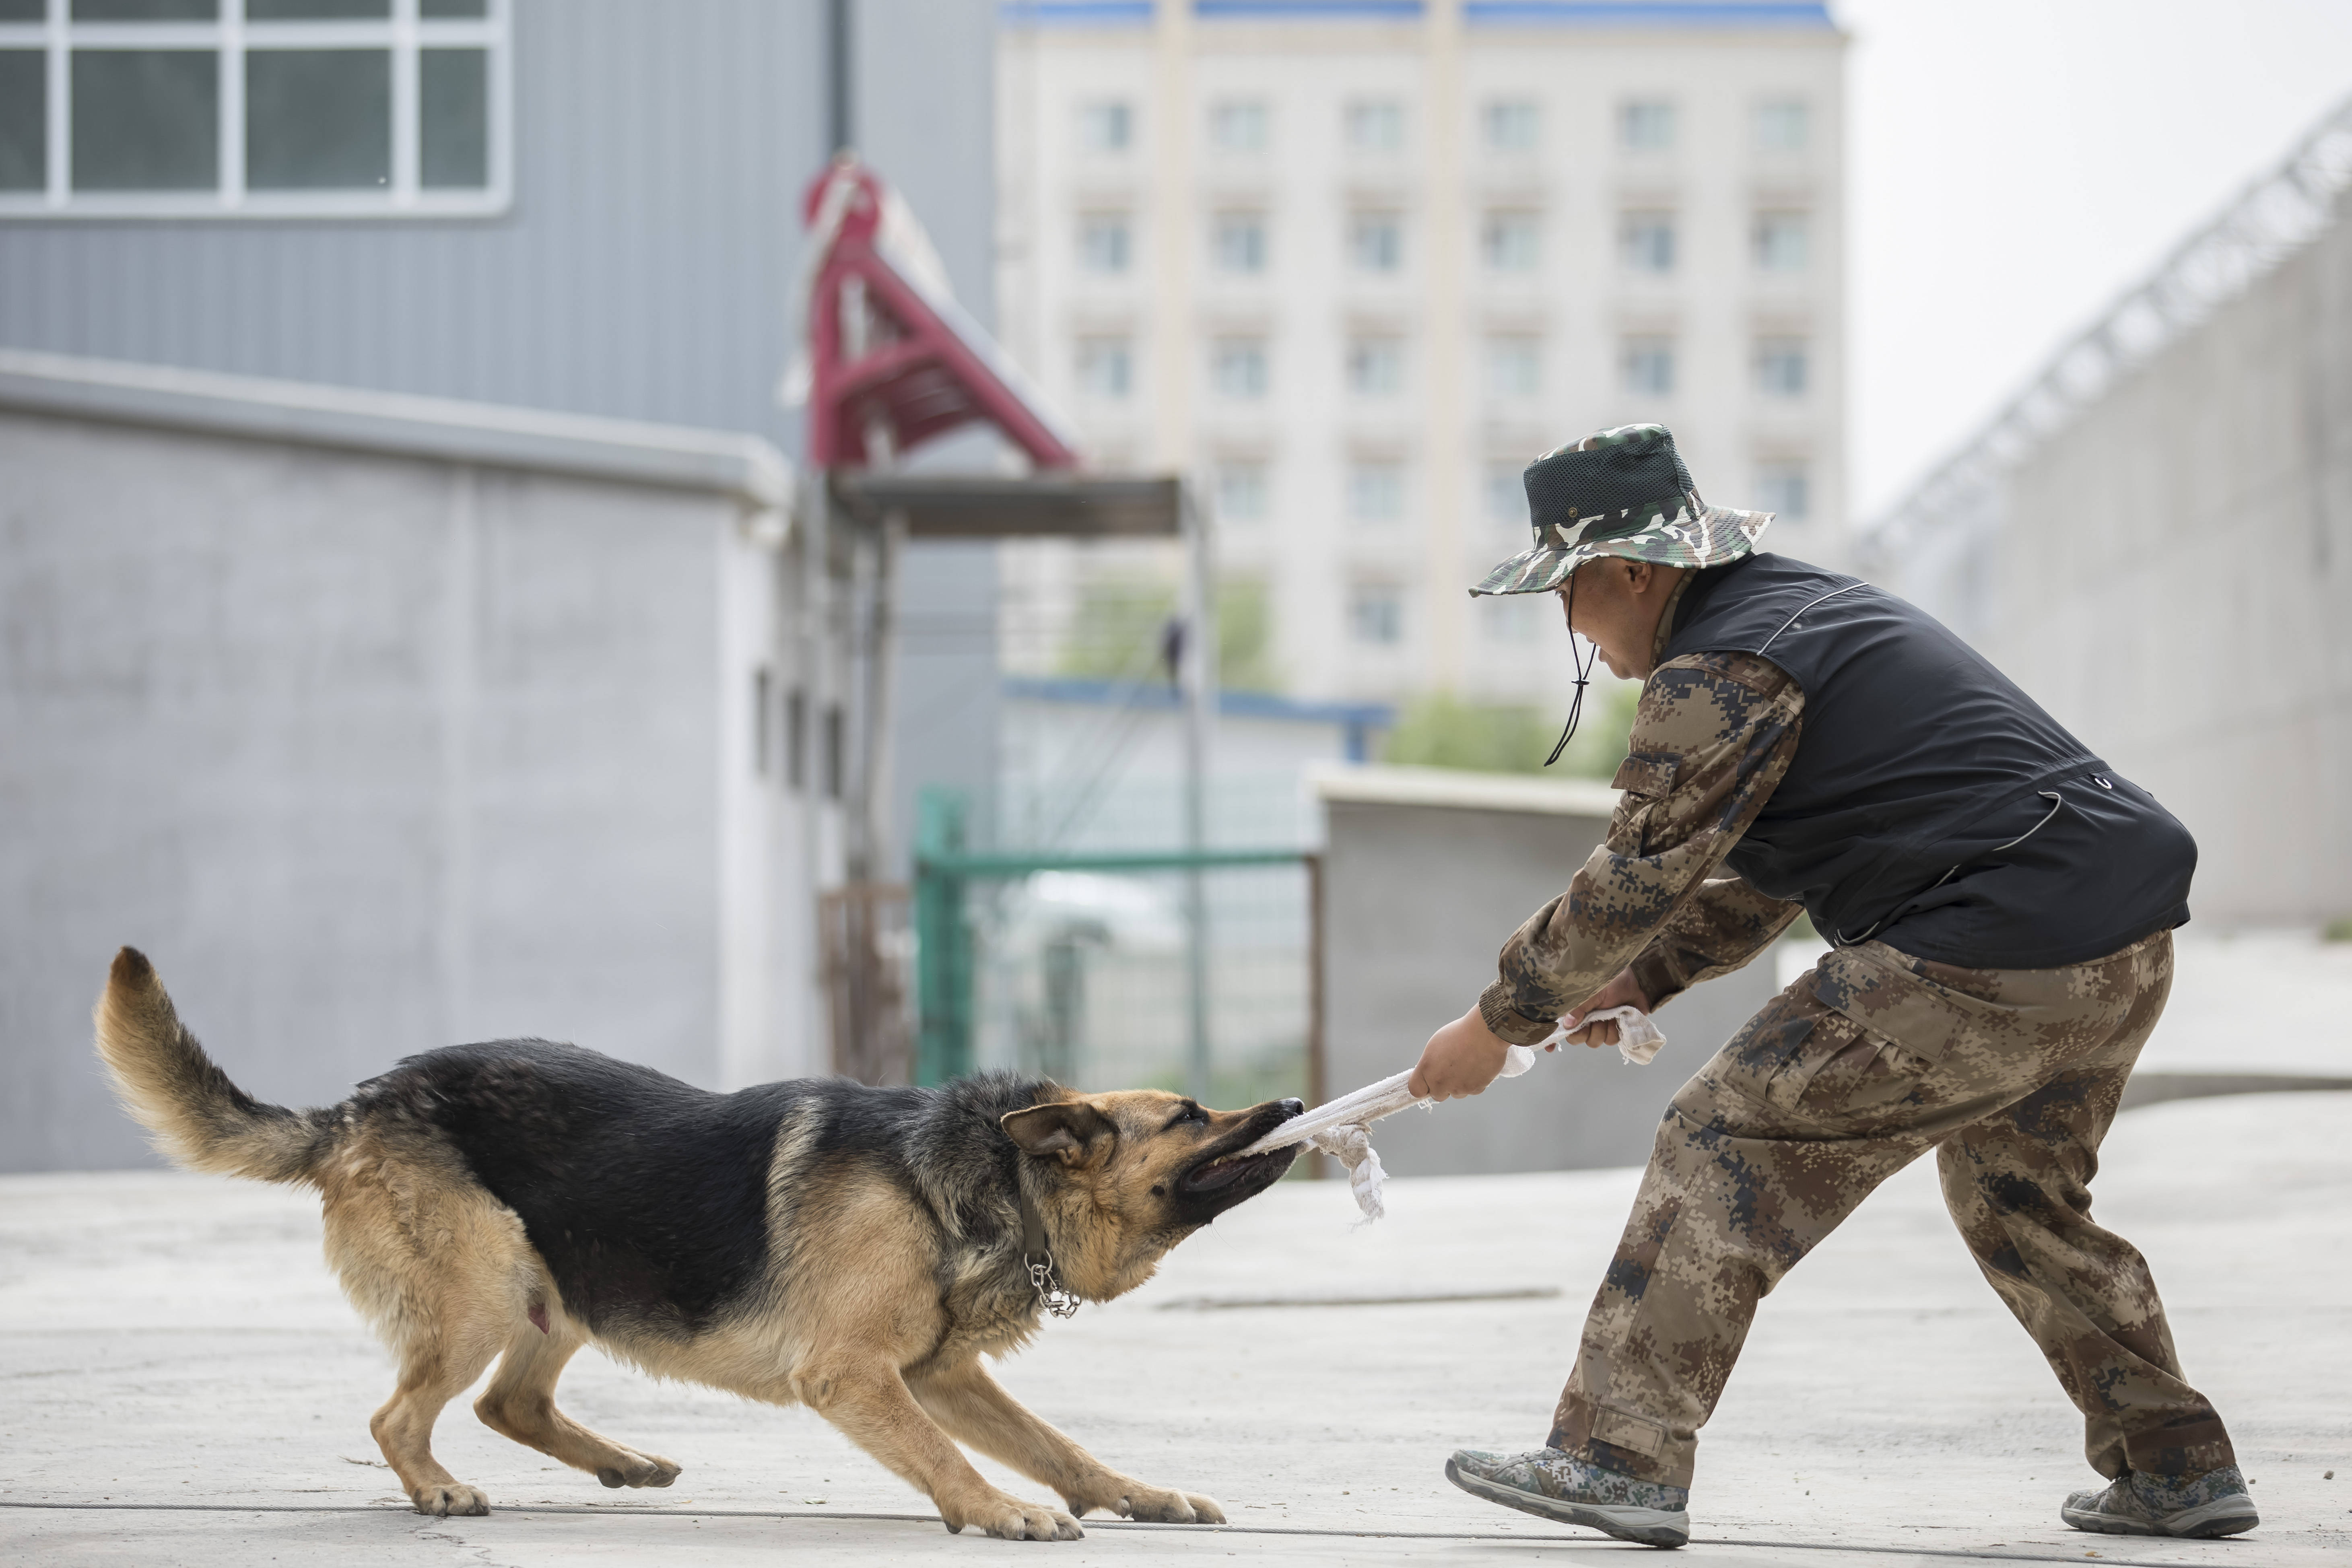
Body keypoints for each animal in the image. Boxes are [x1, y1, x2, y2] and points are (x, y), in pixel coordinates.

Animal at [96, 950, 1307, 1542]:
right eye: (1190, 1113)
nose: (1296, 1099)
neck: (987, 1175)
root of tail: (359, 1102)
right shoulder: (860, 1377)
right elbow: (952, 1458)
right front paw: (999, 1512)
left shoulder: (940, 1375)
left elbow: (1063, 1448)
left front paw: (1143, 1497)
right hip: (488, 1286)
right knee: (404, 1414)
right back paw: (437, 1490)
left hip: (566, 1284)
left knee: (507, 1401)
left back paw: (621, 1463)